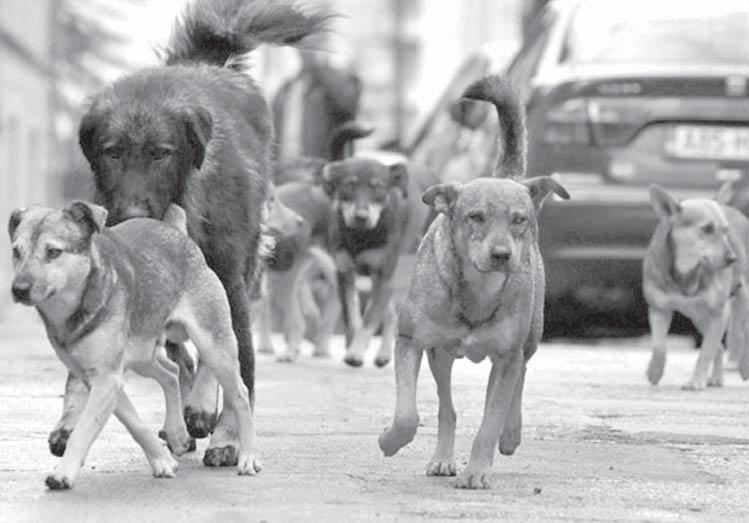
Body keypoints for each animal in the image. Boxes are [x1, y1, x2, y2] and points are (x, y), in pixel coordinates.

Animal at [46, 0, 328, 466]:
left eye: (161, 154)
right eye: (112, 152)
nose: (129, 213)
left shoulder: (229, 278)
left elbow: (241, 370)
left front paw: (228, 437)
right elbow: (89, 368)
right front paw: (70, 421)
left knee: (216, 352)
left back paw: (200, 408)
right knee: (180, 357)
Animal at [376, 75, 568, 490]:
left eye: (519, 219)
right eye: (475, 217)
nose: (502, 255)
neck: (479, 290)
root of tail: (508, 177)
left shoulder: (507, 355)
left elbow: (490, 421)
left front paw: (478, 470)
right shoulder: (411, 341)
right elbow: (408, 414)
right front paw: (389, 441)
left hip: (528, 338)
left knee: (518, 380)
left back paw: (510, 436)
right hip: (442, 354)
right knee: (446, 407)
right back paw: (443, 459)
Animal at [644, 184, 748, 388]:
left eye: (726, 230)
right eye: (707, 229)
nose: (732, 258)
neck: (687, 269)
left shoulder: (718, 313)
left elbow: (705, 352)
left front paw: (696, 381)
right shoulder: (659, 309)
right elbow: (659, 346)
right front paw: (655, 370)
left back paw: (743, 367)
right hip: (699, 317)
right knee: (718, 346)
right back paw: (716, 377)